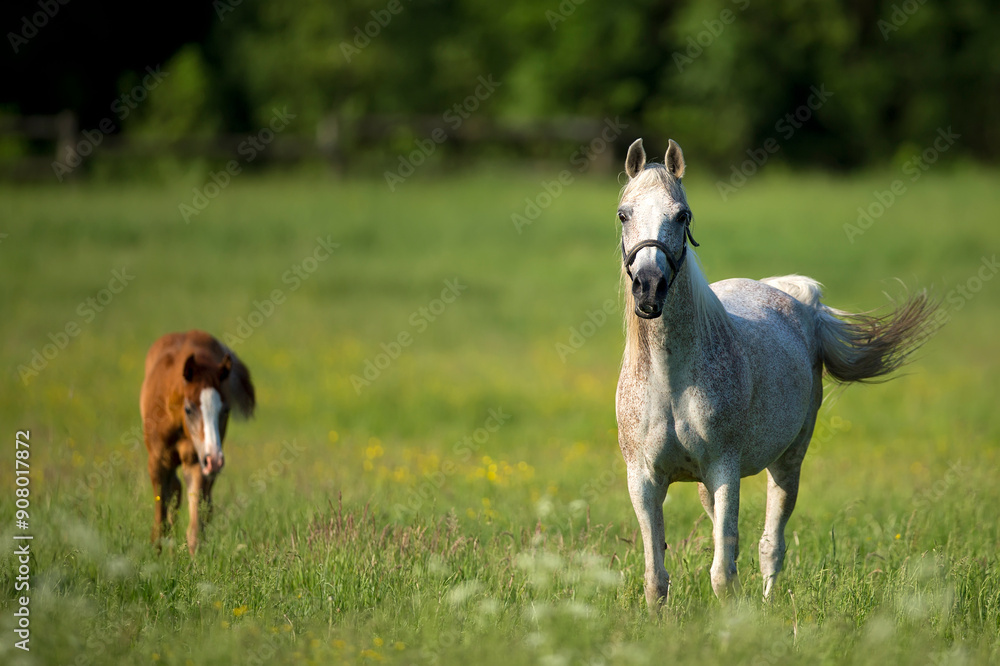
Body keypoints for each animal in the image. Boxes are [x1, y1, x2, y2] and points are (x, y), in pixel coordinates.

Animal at [140, 330, 255, 554]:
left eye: (225, 410)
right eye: (189, 409)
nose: (215, 459)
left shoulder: (197, 462)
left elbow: (195, 525)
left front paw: (195, 559)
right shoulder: (157, 461)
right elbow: (160, 514)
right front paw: (157, 553)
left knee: (204, 503)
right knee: (175, 490)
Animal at [614, 138, 937, 609]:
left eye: (682, 215)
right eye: (624, 213)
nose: (649, 286)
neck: (670, 379)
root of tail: (796, 298)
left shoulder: (725, 470)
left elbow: (723, 575)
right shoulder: (643, 479)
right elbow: (656, 579)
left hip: (789, 460)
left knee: (771, 545)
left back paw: (767, 604)